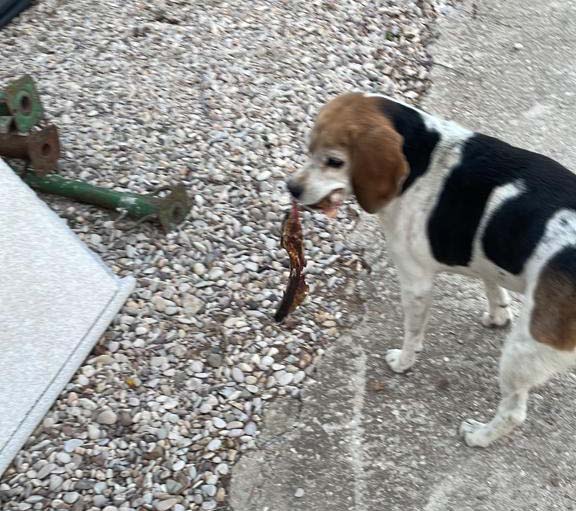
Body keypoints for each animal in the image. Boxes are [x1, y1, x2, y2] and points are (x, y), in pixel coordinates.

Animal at [290, 93, 576, 448]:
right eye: (308, 149)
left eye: (334, 161)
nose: (291, 188)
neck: (422, 155)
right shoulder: (482, 254)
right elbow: (492, 283)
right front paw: (497, 313)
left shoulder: (415, 282)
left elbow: (412, 333)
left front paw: (403, 361)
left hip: (523, 350)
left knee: (513, 413)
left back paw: (479, 436)